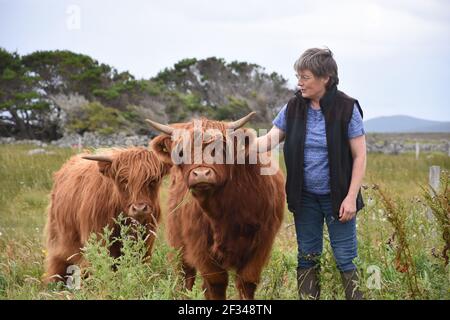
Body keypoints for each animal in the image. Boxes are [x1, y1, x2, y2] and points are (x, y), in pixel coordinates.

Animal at [44, 147, 167, 282]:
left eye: (153, 180)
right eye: (124, 180)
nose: (139, 208)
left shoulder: (147, 239)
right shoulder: (96, 238)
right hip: (60, 240)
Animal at [146, 114, 284, 298]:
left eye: (221, 149)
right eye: (181, 153)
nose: (201, 174)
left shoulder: (263, 241)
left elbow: (246, 282)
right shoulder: (199, 245)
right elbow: (216, 282)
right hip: (178, 243)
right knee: (185, 276)